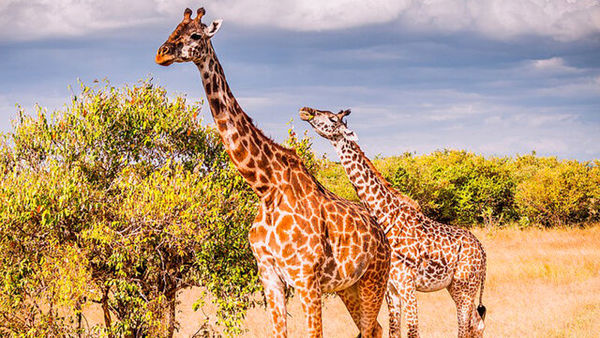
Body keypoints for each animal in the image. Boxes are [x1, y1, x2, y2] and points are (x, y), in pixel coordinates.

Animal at [155, 8, 390, 338]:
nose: (161, 54)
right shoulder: (269, 276)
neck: (265, 186)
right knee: (375, 327)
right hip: (348, 286)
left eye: (196, 35)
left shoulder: (306, 279)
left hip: (374, 279)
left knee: (372, 328)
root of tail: (383, 236)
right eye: (173, 28)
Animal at [300, 107, 488, 336]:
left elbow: (413, 331)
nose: (306, 111)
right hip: (457, 286)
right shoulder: (392, 287)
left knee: (465, 326)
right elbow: (394, 330)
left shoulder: (408, 283)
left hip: (465, 286)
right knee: (476, 323)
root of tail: (483, 252)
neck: (385, 216)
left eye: (332, 118)